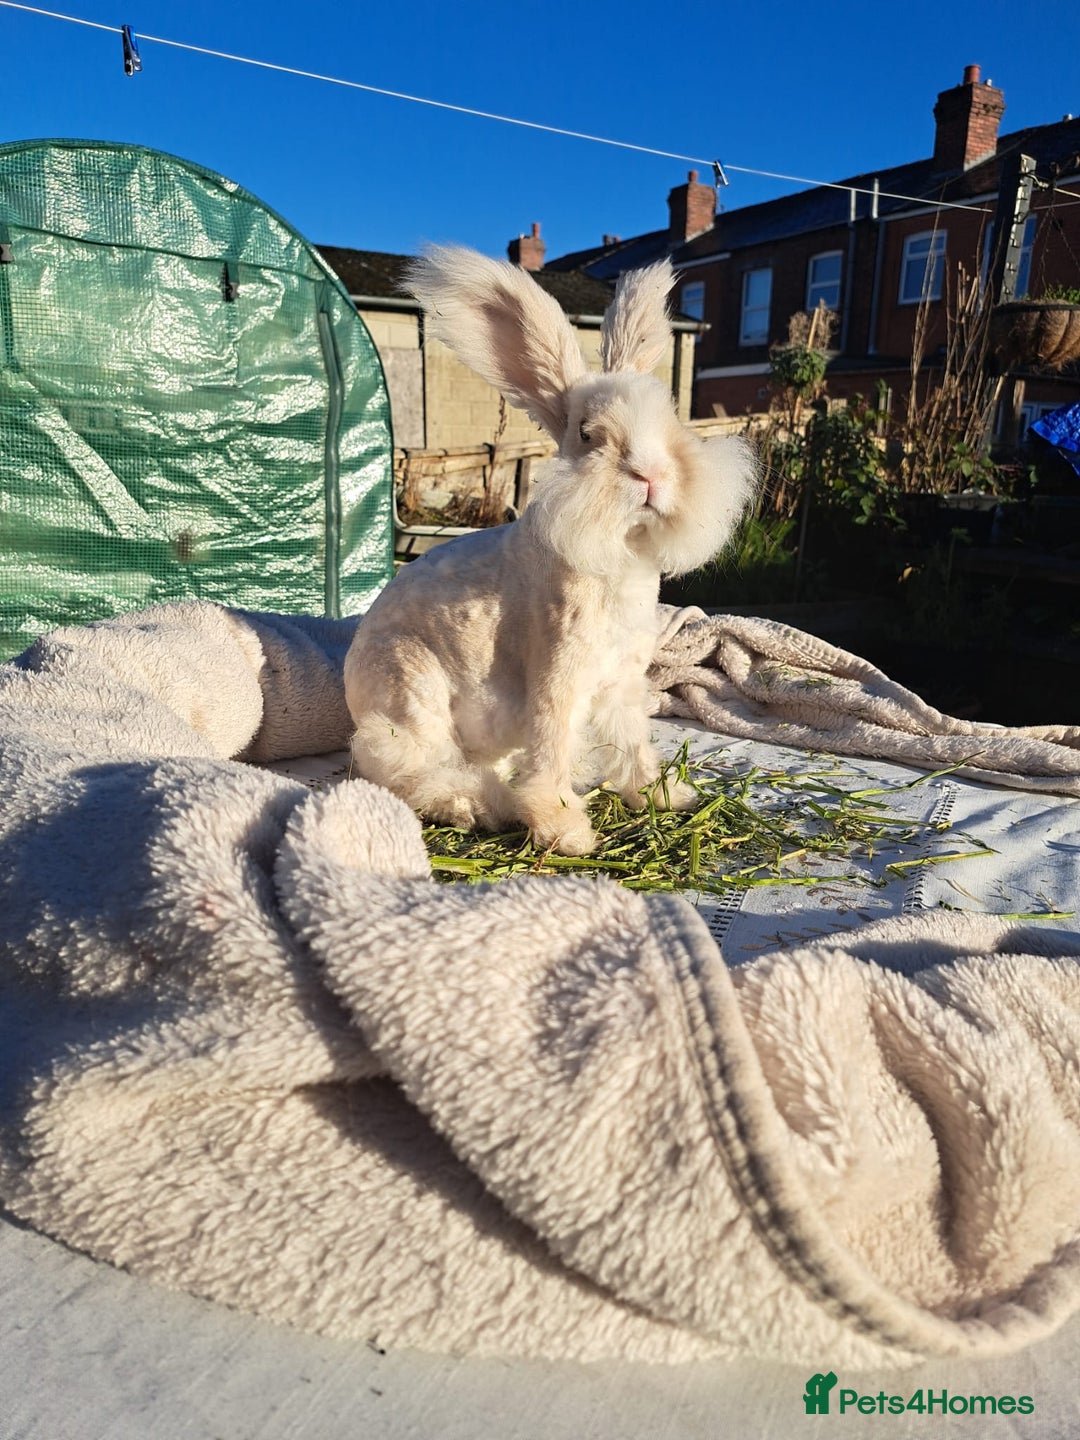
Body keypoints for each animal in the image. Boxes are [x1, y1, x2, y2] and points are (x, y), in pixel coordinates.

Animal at [344, 245, 756, 856]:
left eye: (671, 421)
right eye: (587, 434)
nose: (651, 475)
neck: (619, 555)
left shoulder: (623, 686)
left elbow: (632, 741)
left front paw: (664, 796)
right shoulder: (558, 678)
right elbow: (551, 748)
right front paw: (567, 831)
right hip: (410, 693)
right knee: (399, 767)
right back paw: (477, 806)